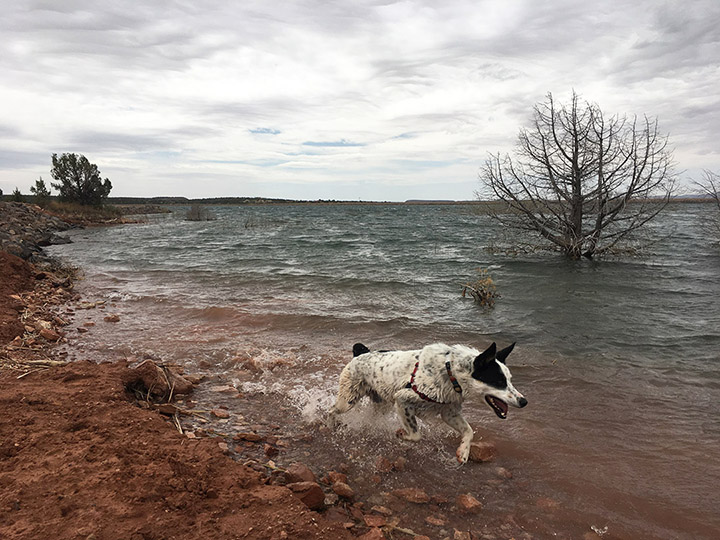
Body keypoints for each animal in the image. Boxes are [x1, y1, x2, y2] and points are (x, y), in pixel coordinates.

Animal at [330, 342, 524, 464]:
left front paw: (464, 452)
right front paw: (402, 434)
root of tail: (361, 353)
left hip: (381, 402)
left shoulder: (449, 412)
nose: (524, 401)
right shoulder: (402, 399)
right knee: (331, 410)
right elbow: (416, 434)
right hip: (348, 399)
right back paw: (330, 424)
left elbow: (469, 431)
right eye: (499, 381)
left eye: (509, 379)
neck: (450, 372)